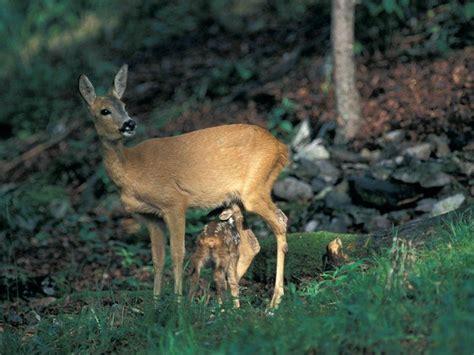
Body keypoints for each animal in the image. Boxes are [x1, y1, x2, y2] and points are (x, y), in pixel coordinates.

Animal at [78, 64, 288, 308]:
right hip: (238, 200)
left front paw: (177, 302)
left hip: (256, 187)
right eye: (104, 111)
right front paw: (156, 304)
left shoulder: (174, 203)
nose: (129, 123)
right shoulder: (150, 216)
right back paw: (225, 299)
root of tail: (281, 147)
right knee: (251, 244)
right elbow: (157, 259)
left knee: (280, 222)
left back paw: (273, 301)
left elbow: (178, 254)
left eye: (124, 105)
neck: (131, 169)